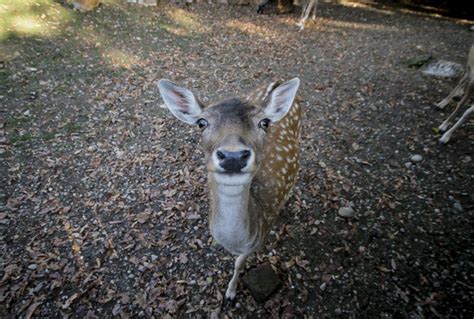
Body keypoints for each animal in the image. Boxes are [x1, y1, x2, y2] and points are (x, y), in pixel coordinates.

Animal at [157, 77, 302, 300]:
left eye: (264, 122)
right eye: (201, 123)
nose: (233, 156)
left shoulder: (255, 243)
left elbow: (239, 264)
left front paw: (231, 293)